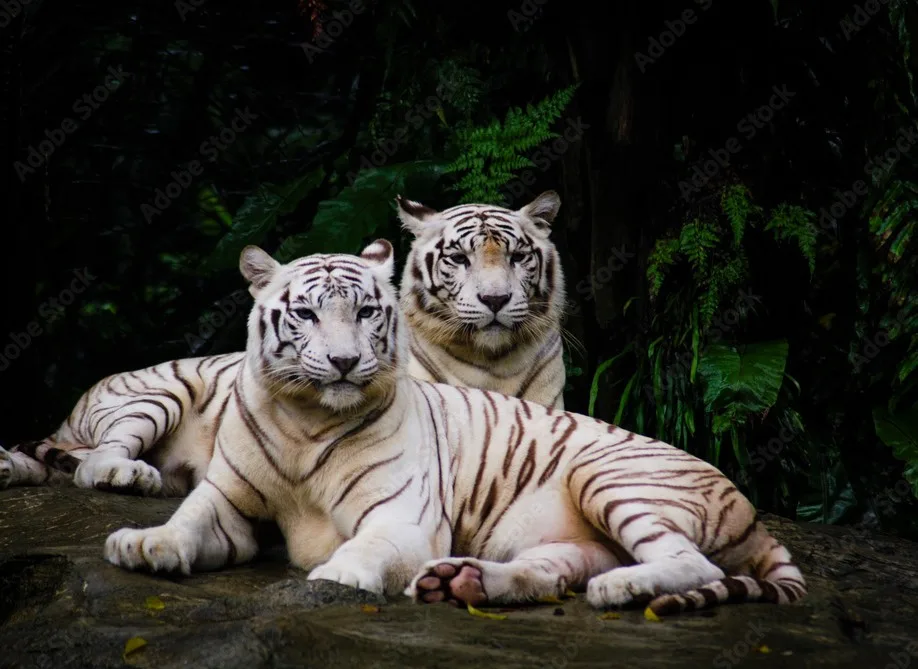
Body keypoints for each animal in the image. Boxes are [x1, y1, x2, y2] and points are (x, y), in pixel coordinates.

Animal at [96, 241, 806, 616]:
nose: (345, 362)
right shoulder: (227, 500)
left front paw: (336, 575)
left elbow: (367, 549)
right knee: (551, 573)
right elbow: (188, 520)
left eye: (367, 312)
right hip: (563, 538)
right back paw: (460, 581)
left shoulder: (403, 517)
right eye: (306, 313)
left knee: (688, 561)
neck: (307, 421)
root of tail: (750, 508)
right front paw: (146, 544)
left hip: (612, 481)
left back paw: (621, 588)